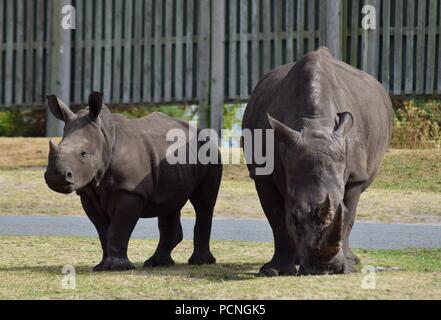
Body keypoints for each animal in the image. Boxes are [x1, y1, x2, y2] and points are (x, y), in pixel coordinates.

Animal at [45, 92, 222, 270]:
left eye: (83, 153)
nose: (55, 177)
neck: (105, 138)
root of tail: (203, 133)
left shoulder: (130, 191)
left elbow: (118, 229)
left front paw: (117, 267)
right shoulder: (88, 193)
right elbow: (103, 231)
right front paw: (101, 267)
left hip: (209, 151)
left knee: (204, 203)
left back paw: (200, 262)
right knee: (170, 202)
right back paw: (157, 263)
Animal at [244, 47, 392, 276]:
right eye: (295, 217)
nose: (323, 270)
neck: (315, 125)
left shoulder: (355, 175)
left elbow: (349, 217)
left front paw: (349, 266)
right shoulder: (263, 175)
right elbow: (277, 221)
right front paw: (274, 271)